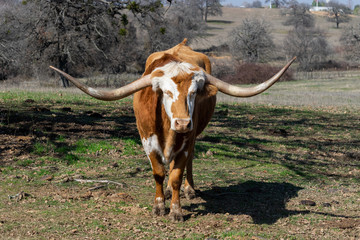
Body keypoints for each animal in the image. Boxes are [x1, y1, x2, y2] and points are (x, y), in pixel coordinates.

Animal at [49, 39, 294, 221]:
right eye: (166, 92)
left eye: (194, 93)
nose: (182, 123)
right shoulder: (147, 141)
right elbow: (158, 173)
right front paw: (159, 205)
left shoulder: (185, 143)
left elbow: (176, 175)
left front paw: (176, 210)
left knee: (189, 162)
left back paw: (189, 189)